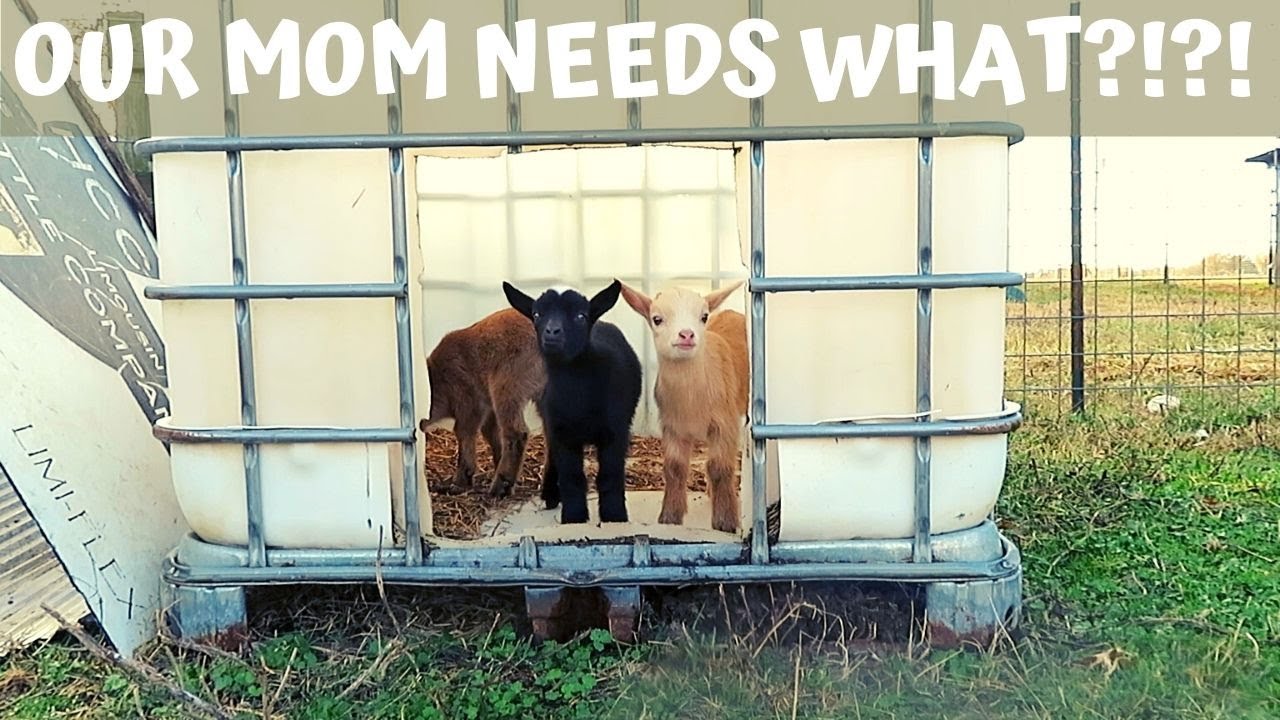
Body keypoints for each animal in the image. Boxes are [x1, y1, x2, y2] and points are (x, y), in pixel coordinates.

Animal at [419, 307, 549, 498]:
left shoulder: (470, 402)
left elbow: (464, 433)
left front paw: (460, 482)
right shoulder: (488, 407)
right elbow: (491, 434)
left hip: (506, 386)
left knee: (516, 433)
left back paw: (500, 487)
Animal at [502, 279, 643, 524]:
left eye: (580, 316)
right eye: (537, 314)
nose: (552, 331)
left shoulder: (616, 431)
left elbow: (610, 474)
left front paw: (614, 516)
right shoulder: (562, 432)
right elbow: (572, 476)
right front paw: (574, 517)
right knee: (551, 455)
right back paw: (550, 494)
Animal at [619, 280, 748, 533]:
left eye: (704, 316)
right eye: (657, 319)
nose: (686, 334)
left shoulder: (725, 423)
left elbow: (719, 468)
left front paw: (725, 522)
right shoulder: (672, 426)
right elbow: (675, 468)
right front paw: (670, 517)